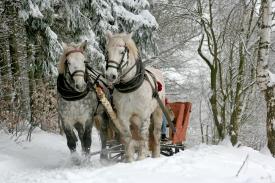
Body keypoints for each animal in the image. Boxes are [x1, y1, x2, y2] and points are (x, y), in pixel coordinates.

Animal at [105, 31, 166, 162]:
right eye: (107, 52)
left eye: (122, 52)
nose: (110, 75)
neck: (130, 88)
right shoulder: (123, 116)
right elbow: (128, 137)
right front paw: (129, 160)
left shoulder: (144, 115)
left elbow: (143, 136)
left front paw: (142, 157)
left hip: (158, 111)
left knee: (155, 134)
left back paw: (156, 155)